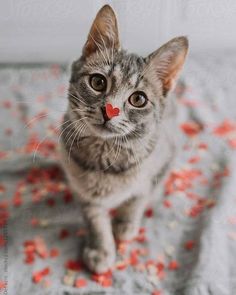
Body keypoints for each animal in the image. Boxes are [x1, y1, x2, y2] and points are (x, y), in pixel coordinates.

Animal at [60, 4, 189, 276]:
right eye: (98, 82)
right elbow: (95, 219)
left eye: (138, 99)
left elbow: (138, 198)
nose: (110, 111)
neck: (106, 152)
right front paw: (101, 248)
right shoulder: (83, 192)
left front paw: (125, 223)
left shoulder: (160, 160)